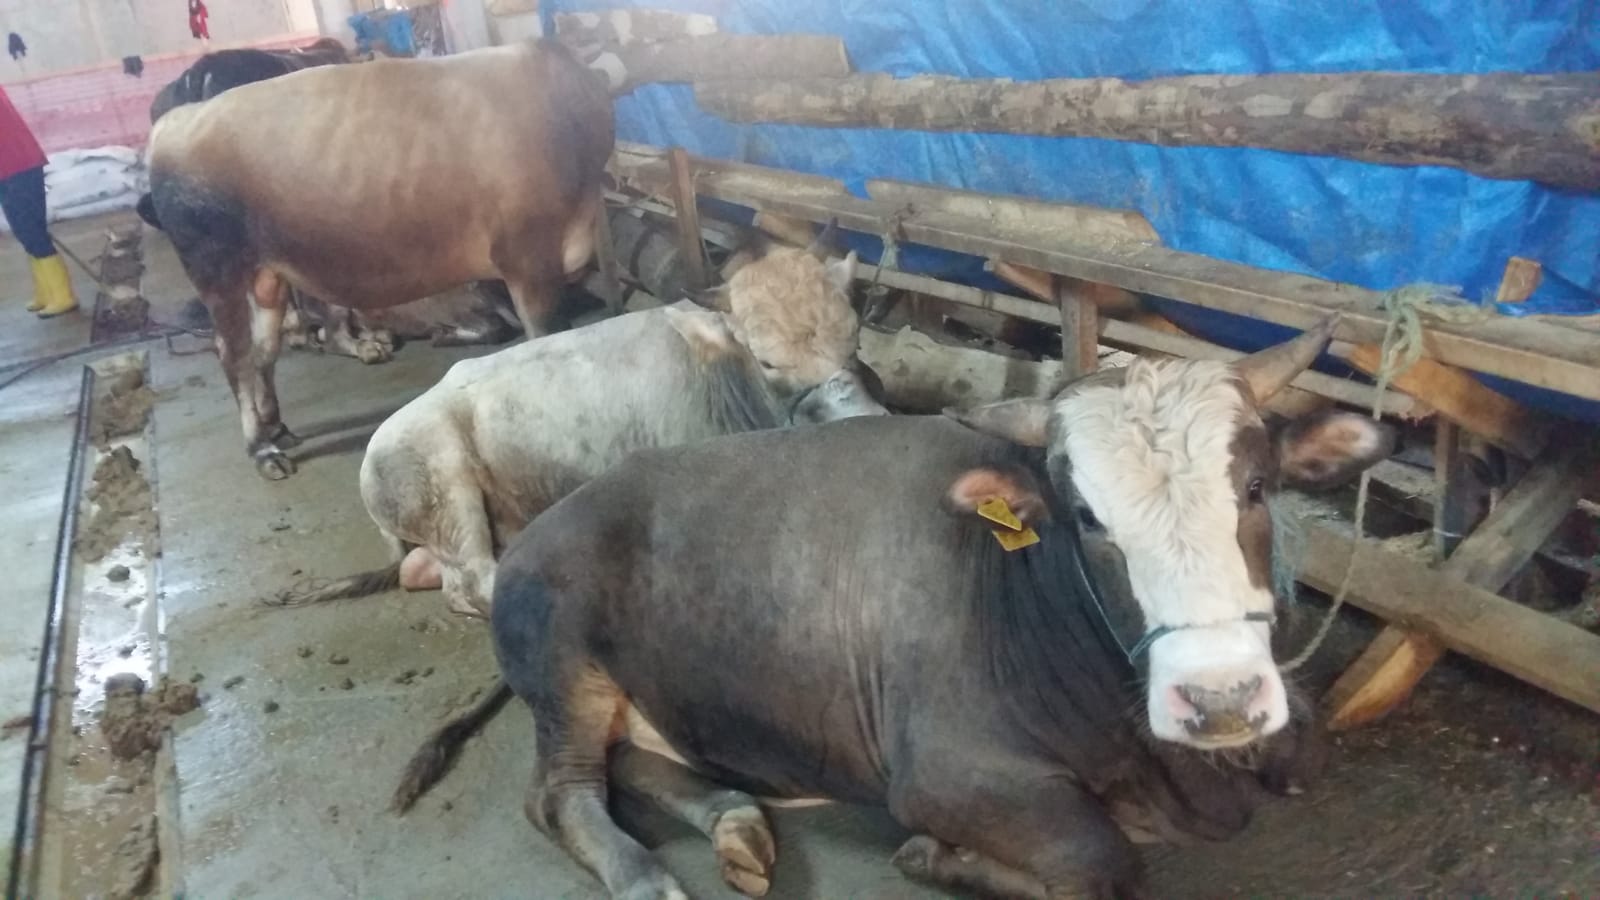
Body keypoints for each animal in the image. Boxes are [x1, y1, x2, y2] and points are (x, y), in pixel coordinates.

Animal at [146, 39, 613, 479]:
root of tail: (176, 121)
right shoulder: (528, 260)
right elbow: (545, 341)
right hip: (216, 271)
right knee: (236, 357)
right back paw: (262, 450)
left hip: (265, 274)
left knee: (264, 349)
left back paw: (276, 427)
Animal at [270, 240, 885, 618]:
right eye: (767, 360)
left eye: (854, 337)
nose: (866, 419)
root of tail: (376, 449)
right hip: (446, 491)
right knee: (475, 584)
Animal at [396, 316, 1393, 898]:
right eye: (1085, 517)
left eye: (1256, 488)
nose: (1219, 699)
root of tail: (548, 521)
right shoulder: (945, 772)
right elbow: (1100, 858)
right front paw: (938, 859)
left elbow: (1305, 743)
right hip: (563, 663)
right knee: (561, 795)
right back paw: (649, 880)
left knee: (636, 764)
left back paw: (736, 822)